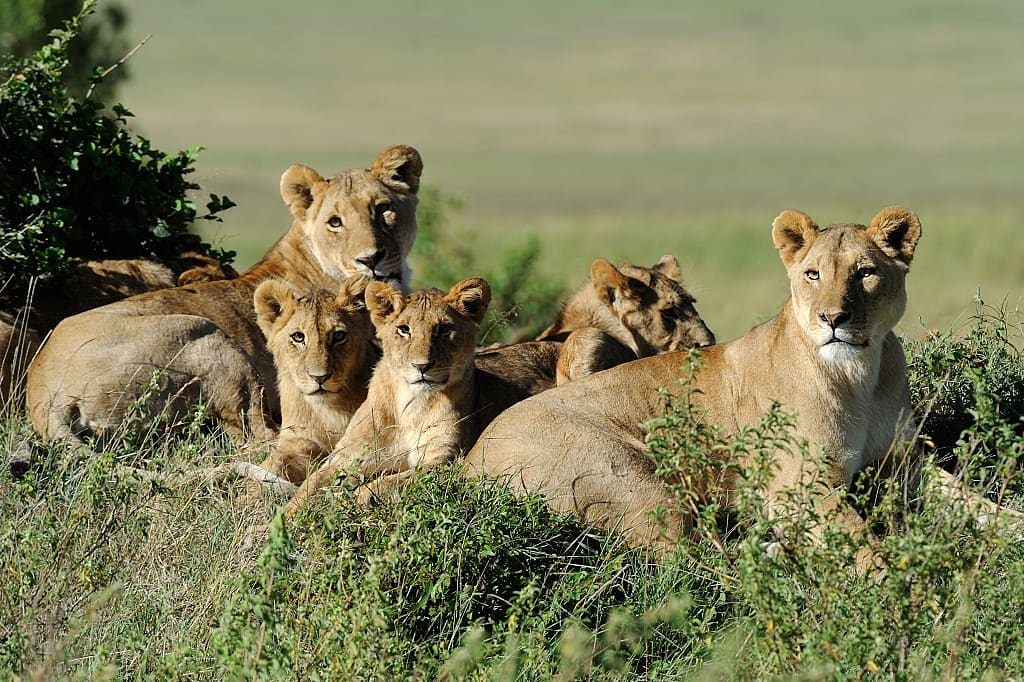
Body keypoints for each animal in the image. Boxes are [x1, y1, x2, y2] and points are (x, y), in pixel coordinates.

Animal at [26, 145, 422, 446]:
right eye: (335, 222)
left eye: (383, 209)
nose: (370, 259)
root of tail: (44, 396)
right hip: (210, 338)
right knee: (259, 436)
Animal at [466, 206, 933, 573]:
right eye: (812, 275)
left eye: (866, 273)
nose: (832, 318)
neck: (859, 376)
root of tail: (468, 465)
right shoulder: (799, 485)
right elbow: (864, 547)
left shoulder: (904, 462)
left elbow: (950, 496)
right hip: (637, 480)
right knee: (693, 564)